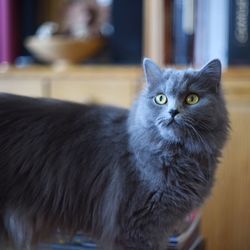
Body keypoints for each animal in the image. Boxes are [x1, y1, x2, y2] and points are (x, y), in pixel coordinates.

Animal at [0, 58, 229, 250]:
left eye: (192, 99)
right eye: (161, 99)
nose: (173, 112)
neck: (176, 155)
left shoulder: (158, 228)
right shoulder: (135, 227)